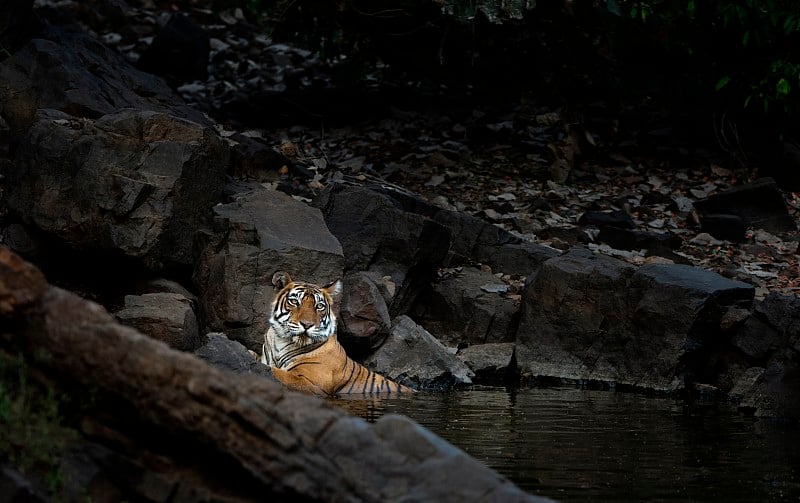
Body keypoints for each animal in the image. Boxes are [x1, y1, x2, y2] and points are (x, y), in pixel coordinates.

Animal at [260, 272, 416, 398]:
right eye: (294, 301)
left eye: (319, 306)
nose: (307, 324)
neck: (281, 341)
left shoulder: (311, 382)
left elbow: (277, 373)